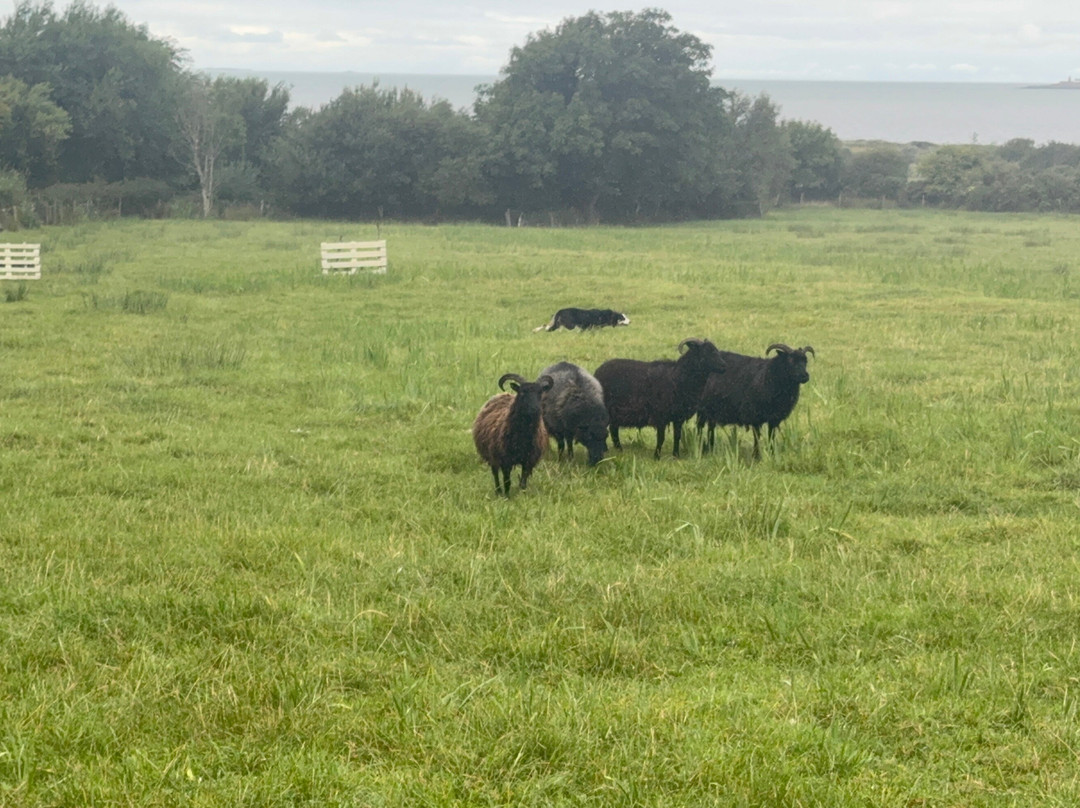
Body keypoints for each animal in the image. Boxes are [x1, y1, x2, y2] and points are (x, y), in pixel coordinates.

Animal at [593, 338, 727, 459]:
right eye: (707, 352)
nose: (724, 366)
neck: (677, 378)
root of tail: (597, 372)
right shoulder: (661, 415)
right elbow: (661, 438)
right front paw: (657, 457)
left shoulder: (678, 417)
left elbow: (677, 436)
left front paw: (676, 455)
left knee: (613, 429)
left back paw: (619, 450)